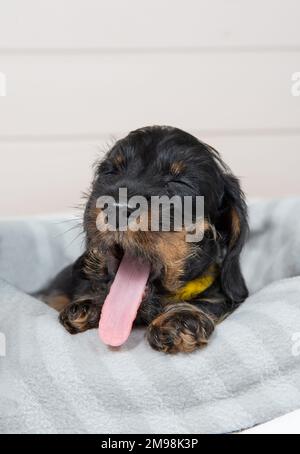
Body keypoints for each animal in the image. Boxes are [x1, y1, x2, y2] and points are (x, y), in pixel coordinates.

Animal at [41, 127, 248, 354]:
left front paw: (180, 317)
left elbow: (213, 301)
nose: (117, 209)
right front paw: (89, 304)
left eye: (179, 183)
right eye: (110, 173)